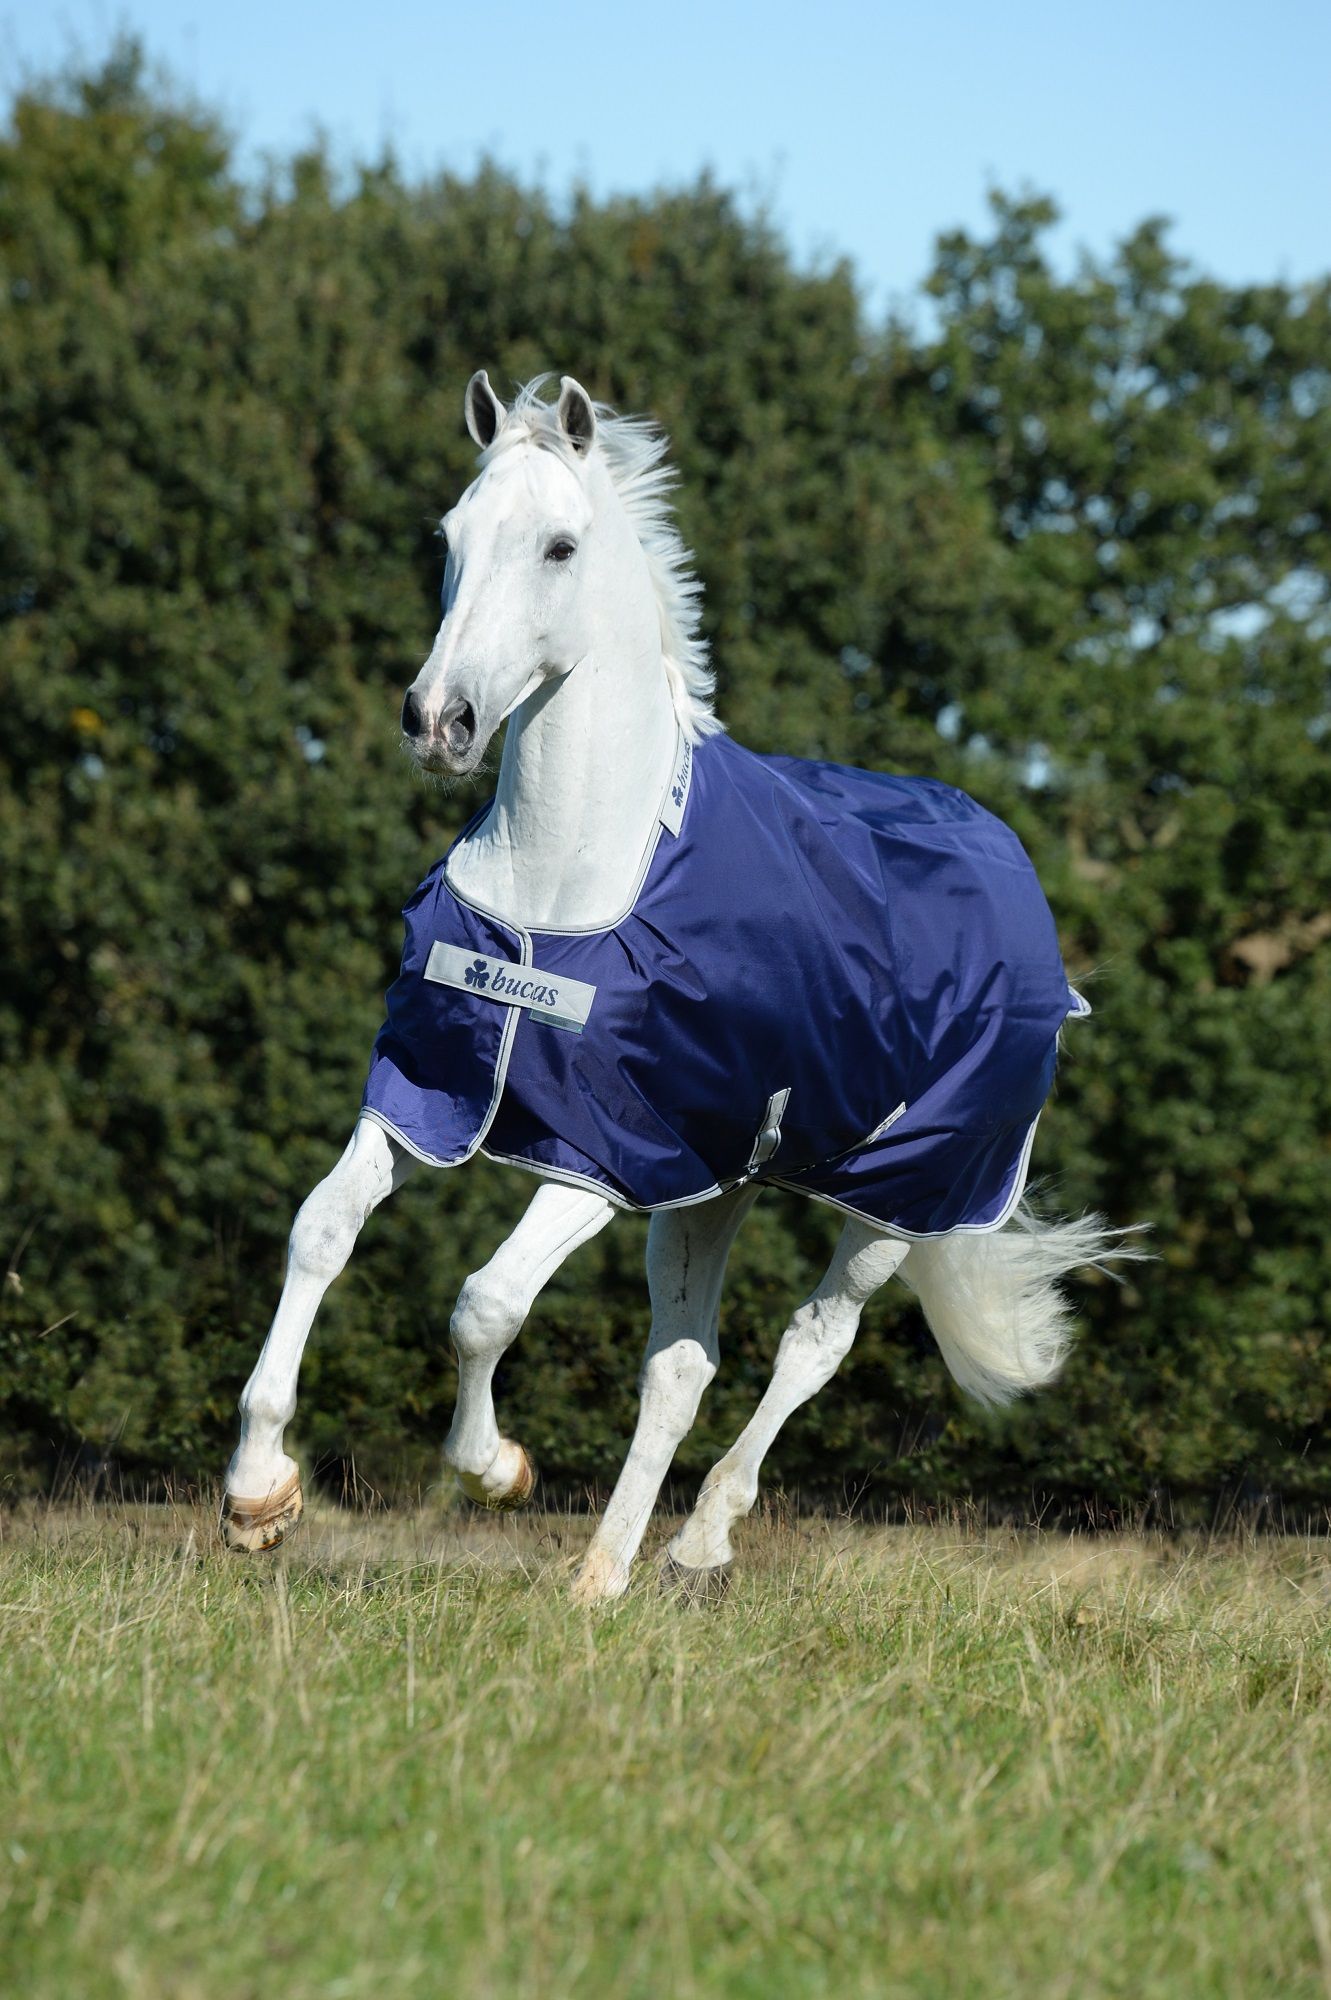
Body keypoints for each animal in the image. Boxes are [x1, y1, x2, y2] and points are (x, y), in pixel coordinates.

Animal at [221, 371, 1116, 1602]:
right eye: (450, 537)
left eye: (558, 546)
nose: (438, 721)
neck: (564, 881)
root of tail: (1016, 881)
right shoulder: (429, 1094)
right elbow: (320, 1230)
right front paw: (259, 1492)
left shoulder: (605, 1155)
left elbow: (484, 1302)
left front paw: (496, 1469)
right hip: (715, 1188)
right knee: (681, 1363)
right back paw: (604, 1573)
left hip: (899, 1195)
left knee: (810, 1343)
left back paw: (697, 1540)